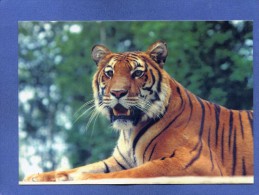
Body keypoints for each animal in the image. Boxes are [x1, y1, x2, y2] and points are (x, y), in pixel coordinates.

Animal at [24, 40, 254, 182]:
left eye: (137, 73)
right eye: (109, 73)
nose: (118, 92)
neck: (129, 131)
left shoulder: (194, 161)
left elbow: (139, 172)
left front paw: (86, 178)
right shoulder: (118, 160)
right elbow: (81, 167)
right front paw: (38, 176)